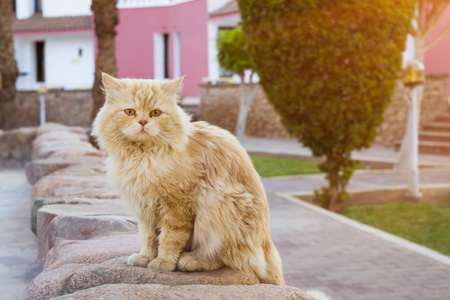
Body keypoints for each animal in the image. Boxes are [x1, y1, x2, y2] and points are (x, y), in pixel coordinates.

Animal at [92, 73, 284, 286]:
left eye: (155, 113)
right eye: (130, 112)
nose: (142, 122)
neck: (143, 157)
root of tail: (267, 244)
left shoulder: (177, 205)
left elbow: (169, 238)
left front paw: (163, 262)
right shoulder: (145, 208)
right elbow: (148, 237)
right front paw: (145, 257)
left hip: (220, 207)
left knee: (229, 259)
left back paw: (190, 260)